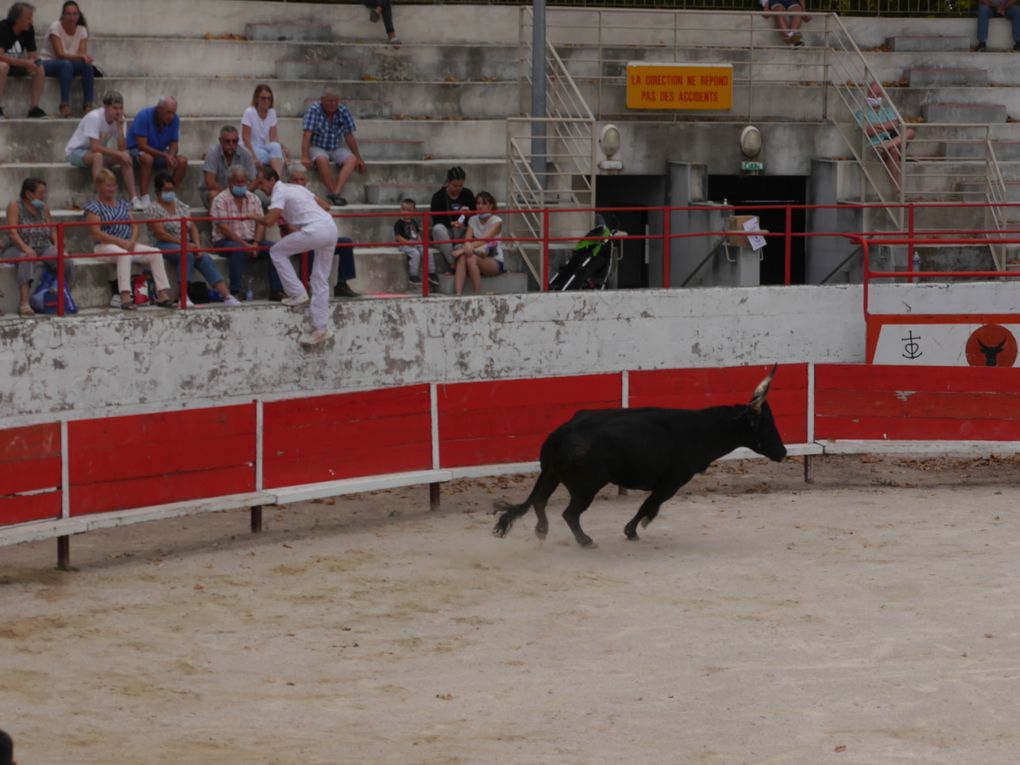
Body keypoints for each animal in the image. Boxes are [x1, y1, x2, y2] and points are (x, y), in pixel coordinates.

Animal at [493, 369, 787, 546]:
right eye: (767, 426)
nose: (783, 452)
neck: (701, 429)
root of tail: (561, 432)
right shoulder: (673, 481)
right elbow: (650, 504)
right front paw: (633, 530)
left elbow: (650, 504)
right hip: (586, 487)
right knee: (570, 513)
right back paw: (585, 540)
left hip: (551, 474)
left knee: (540, 501)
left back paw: (542, 531)